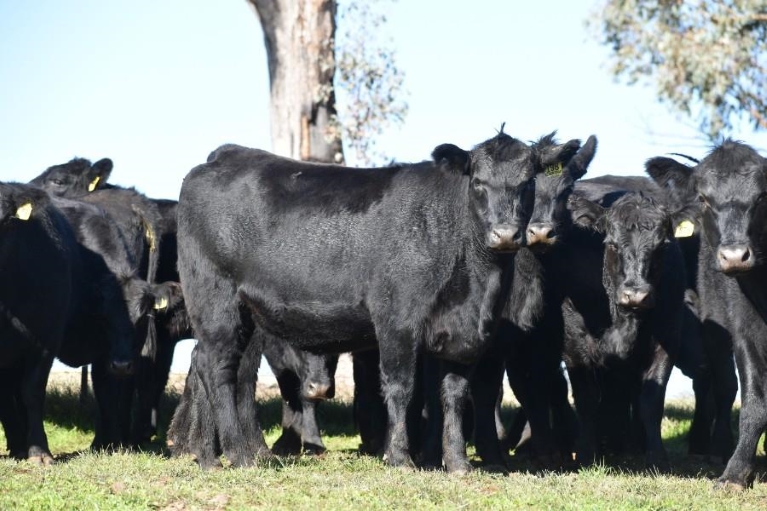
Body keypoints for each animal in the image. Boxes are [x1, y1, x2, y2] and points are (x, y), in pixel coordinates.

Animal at [171, 131, 584, 472]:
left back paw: (215, 456)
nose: (505, 234)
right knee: (219, 368)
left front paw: (457, 463)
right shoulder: (396, 319)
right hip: (216, 299)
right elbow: (403, 389)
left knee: (216, 367)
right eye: (479, 183)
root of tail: (225, 155)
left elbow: (453, 394)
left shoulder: (463, 336)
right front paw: (399, 457)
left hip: (243, 313)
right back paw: (238, 454)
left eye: (527, 182)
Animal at [644, 139, 767, 488]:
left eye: (761, 196)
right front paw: (736, 473)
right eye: (704, 199)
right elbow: (754, 401)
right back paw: (716, 448)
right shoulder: (745, 331)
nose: (735, 256)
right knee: (721, 384)